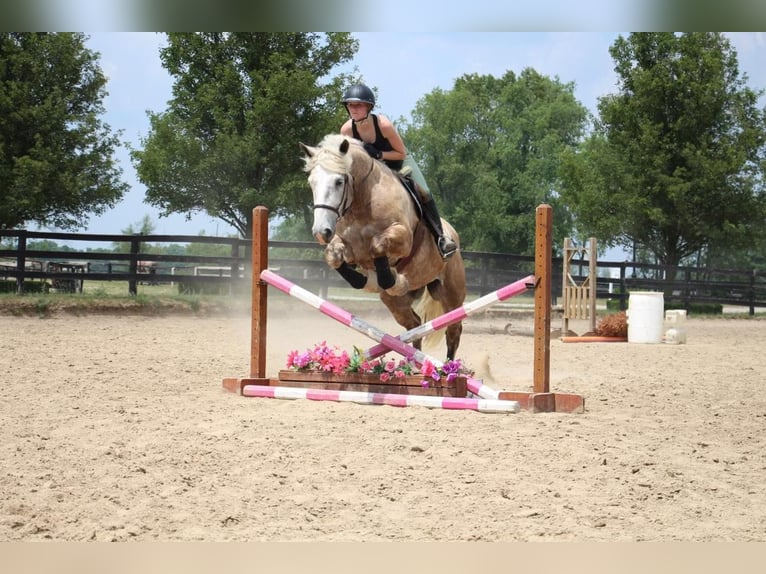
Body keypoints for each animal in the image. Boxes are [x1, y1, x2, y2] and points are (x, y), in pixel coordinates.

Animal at [300, 133, 468, 362]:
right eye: (311, 183)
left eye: (339, 181)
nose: (320, 231)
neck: (362, 201)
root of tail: (452, 231)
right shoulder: (345, 245)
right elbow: (334, 257)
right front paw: (362, 279)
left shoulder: (403, 238)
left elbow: (378, 246)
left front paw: (389, 279)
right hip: (396, 303)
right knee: (414, 325)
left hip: (451, 293)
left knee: (453, 330)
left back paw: (449, 367)